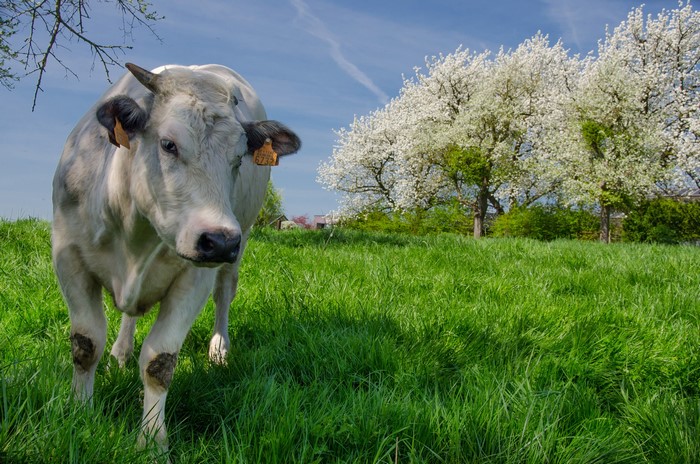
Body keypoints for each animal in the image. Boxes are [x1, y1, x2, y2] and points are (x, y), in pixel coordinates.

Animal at [51, 63, 301, 451]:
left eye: (238, 158)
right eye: (168, 144)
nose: (220, 240)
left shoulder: (194, 278)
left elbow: (159, 362)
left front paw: (152, 440)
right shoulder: (67, 255)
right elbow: (86, 344)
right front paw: (79, 411)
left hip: (237, 247)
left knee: (224, 295)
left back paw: (218, 350)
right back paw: (120, 352)